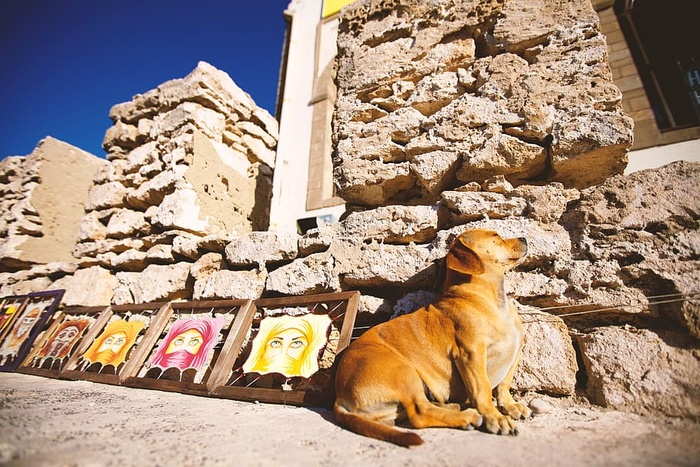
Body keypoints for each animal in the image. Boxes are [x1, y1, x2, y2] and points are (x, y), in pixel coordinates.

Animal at [334, 229, 532, 448]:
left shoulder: (515, 353)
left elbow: (504, 384)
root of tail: (339, 395)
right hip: (403, 371)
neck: (489, 300)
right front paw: (495, 417)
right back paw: (467, 417)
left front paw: (510, 406)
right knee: (420, 413)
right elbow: (483, 390)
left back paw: (456, 407)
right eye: (495, 236)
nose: (524, 238)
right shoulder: (471, 354)